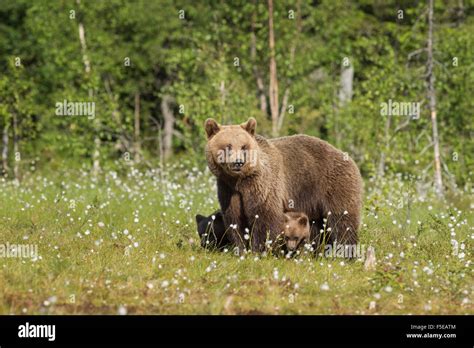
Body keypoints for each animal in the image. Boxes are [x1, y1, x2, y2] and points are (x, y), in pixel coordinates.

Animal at [205, 118, 362, 251]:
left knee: (342, 221)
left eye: (244, 146)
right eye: (228, 146)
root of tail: (346, 156)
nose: (238, 162)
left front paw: (259, 249)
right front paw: (241, 249)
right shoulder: (228, 190)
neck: (240, 181)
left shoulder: (263, 186)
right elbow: (235, 220)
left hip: (334, 185)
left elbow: (265, 218)